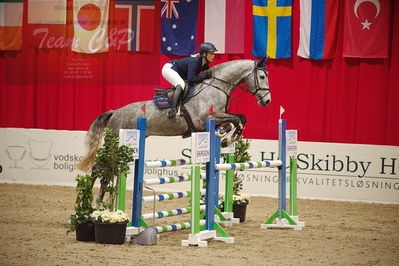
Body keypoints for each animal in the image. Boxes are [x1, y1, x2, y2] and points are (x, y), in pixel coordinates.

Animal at [77, 56, 272, 206]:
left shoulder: (213, 120)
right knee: (99, 167)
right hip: (117, 143)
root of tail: (114, 112)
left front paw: (226, 137)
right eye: (262, 76)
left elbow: (239, 119)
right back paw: (94, 203)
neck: (217, 86)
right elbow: (237, 119)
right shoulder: (206, 118)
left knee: (106, 168)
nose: (267, 101)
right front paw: (229, 137)